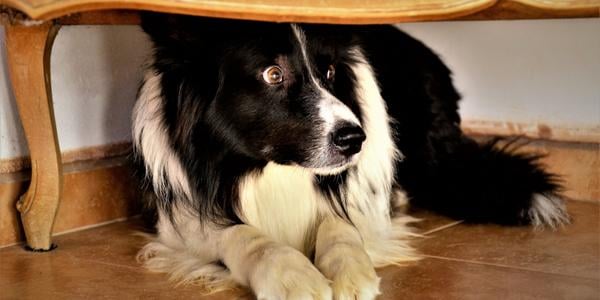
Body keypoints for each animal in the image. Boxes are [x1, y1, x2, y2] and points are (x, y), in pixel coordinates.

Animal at [131, 14, 568, 300]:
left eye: (328, 72)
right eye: (273, 74)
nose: (356, 138)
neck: (273, 170)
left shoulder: (355, 195)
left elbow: (339, 225)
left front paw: (350, 271)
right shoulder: (181, 221)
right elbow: (241, 234)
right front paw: (292, 277)